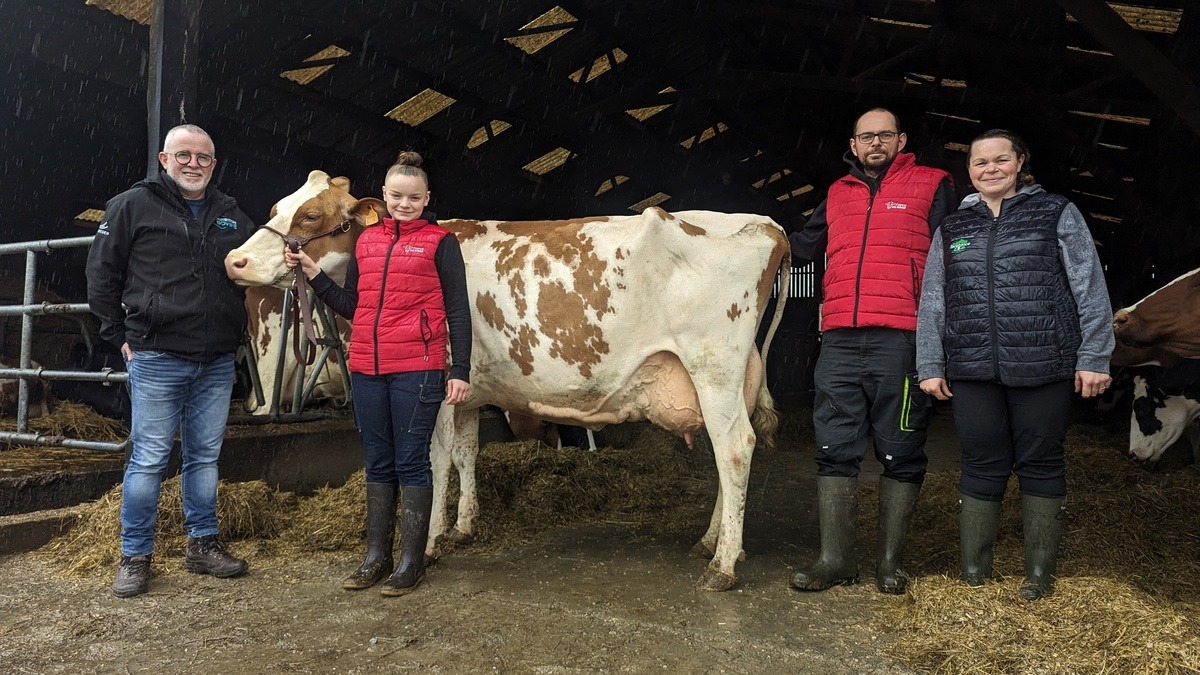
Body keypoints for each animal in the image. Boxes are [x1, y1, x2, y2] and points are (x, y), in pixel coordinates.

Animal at [225, 172, 792, 588]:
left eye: (311, 215)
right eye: (277, 206)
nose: (235, 260)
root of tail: (766, 224)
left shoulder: (435, 385)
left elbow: (435, 460)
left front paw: (430, 542)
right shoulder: (469, 392)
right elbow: (466, 453)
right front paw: (463, 526)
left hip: (712, 365)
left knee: (735, 447)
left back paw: (723, 565)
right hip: (729, 377)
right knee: (725, 453)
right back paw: (711, 542)